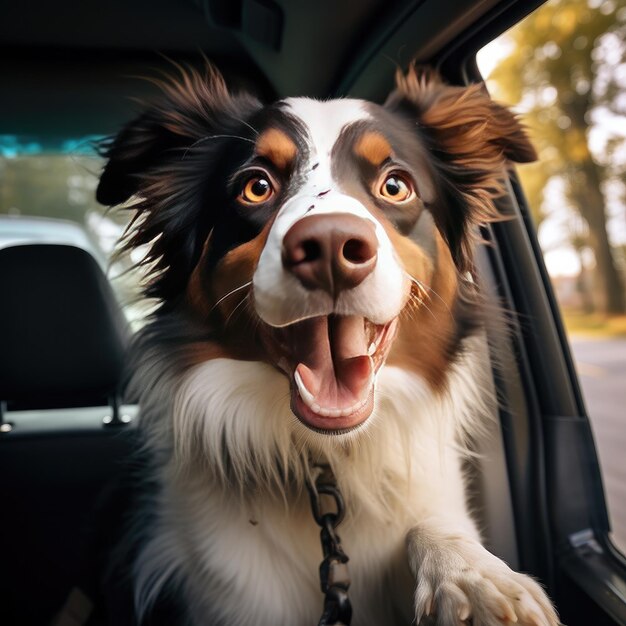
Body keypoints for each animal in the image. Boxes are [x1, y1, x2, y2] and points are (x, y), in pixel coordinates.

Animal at [98, 62, 560, 624]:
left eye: (395, 185)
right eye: (255, 187)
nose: (331, 246)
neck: (330, 461)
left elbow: (429, 526)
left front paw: (473, 577)